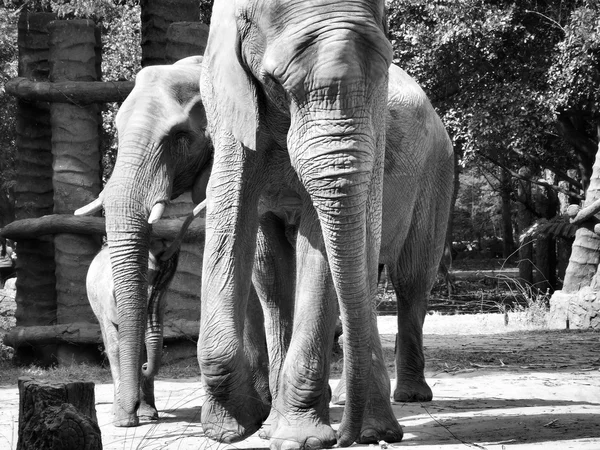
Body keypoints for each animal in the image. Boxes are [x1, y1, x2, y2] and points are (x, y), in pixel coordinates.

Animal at [198, 1, 404, 448]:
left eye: (383, 70)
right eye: (275, 80)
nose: (344, 437)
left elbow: (322, 246)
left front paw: (301, 439)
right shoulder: (231, 103)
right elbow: (228, 213)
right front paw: (230, 429)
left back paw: (374, 430)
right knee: (271, 276)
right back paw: (270, 425)